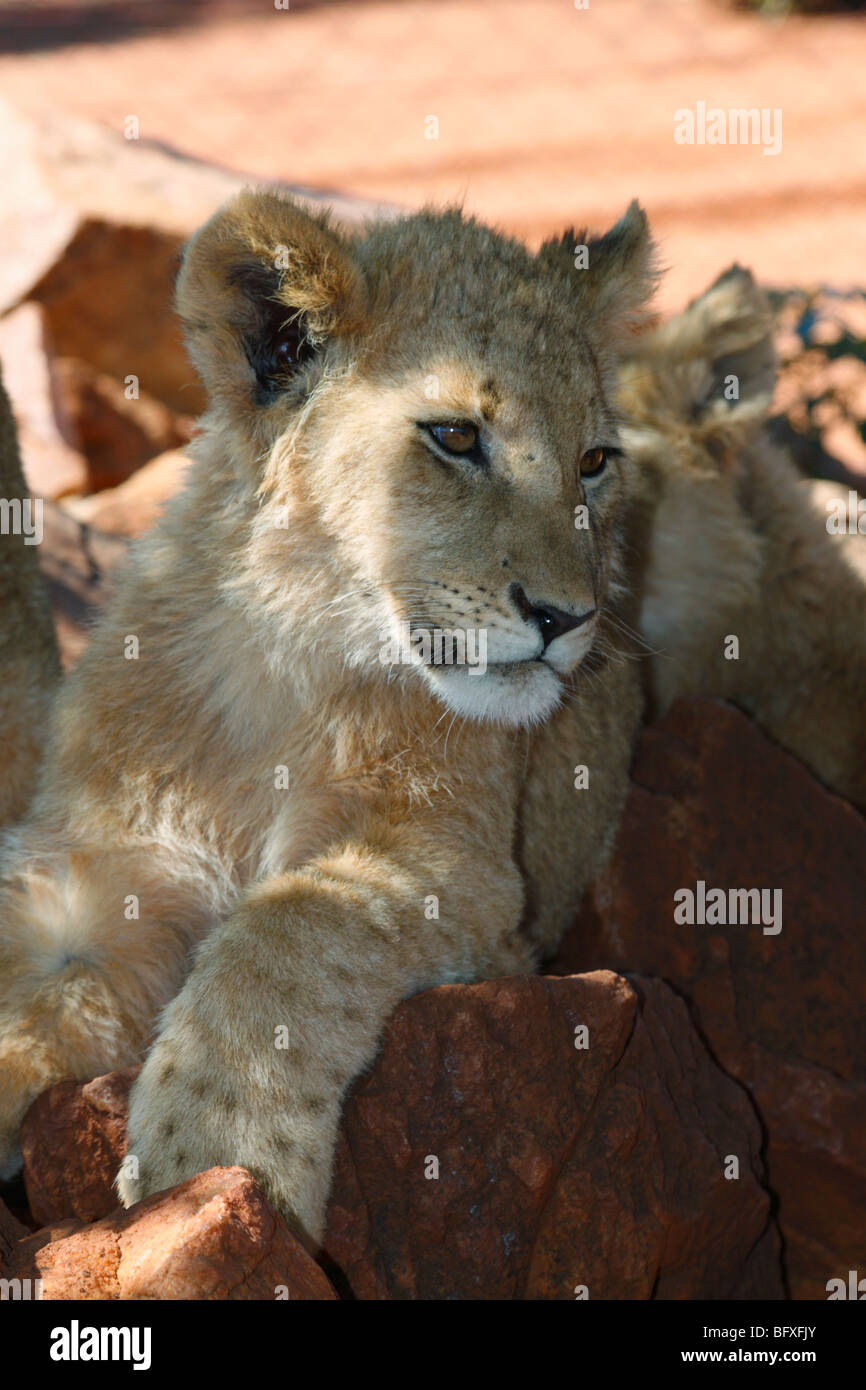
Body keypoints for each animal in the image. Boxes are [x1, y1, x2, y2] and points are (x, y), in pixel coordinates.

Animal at [0, 191, 656, 1244]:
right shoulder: (106, 868)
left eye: (594, 462)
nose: (567, 619)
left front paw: (215, 1153)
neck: (280, 649)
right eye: (456, 438)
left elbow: (290, 929)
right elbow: (36, 1000)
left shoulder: (462, 864)